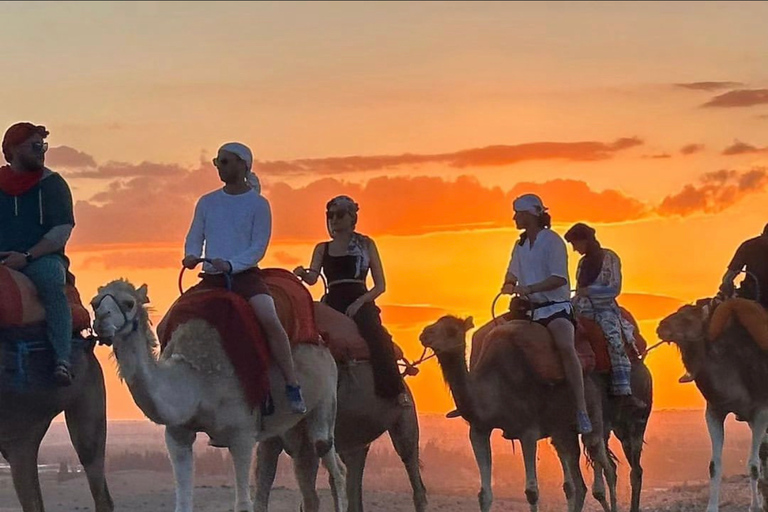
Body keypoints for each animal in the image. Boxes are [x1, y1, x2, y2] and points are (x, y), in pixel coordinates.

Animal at [91, 280, 352, 512]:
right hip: (289, 427)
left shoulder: (242, 434)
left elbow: (243, 505)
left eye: (128, 303)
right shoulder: (177, 433)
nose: (100, 320)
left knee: (333, 463)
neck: (196, 381)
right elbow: (182, 505)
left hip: (324, 402)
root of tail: (322, 343)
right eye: (95, 302)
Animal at [256, 348, 426, 512]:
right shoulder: (271, 441)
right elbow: (262, 492)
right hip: (355, 438)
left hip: (404, 419)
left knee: (412, 468)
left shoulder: (306, 443)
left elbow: (311, 500)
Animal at [420, 316, 616, 512]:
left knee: (607, 466)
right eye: (436, 323)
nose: (424, 335)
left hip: (592, 418)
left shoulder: (528, 432)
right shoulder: (478, 430)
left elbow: (532, 492)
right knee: (579, 484)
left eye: (452, 330)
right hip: (563, 432)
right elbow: (484, 494)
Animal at [656, 300, 768, 512]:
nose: (661, 327)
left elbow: (753, 464)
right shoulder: (715, 411)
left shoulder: (760, 411)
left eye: (688, 318)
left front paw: (754, 507)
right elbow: (714, 465)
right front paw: (712, 507)